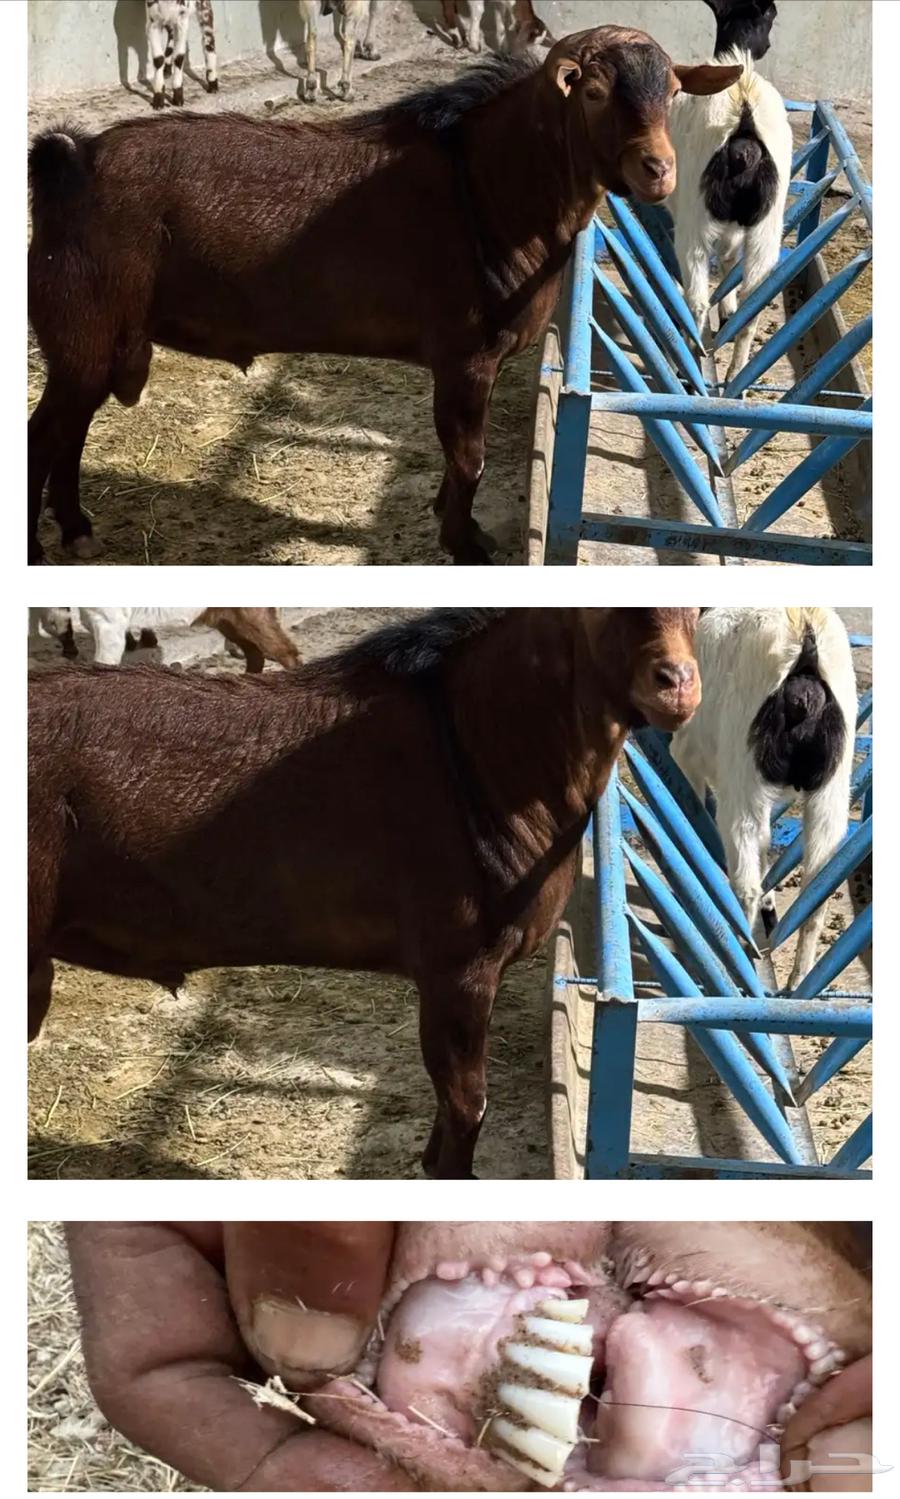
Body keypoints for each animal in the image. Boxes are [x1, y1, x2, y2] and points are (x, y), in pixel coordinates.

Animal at [666, 2, 790, 382]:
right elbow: (731, 260)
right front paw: (729, 309)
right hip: (767, 228)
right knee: (753, 300)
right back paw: (737, 373)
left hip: (694, 219)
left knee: (696, 298)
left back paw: (694, 356)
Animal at [670, 608, 858, 990]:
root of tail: (805, 638)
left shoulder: (687, 754)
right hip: (831, 791)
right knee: (816, 888)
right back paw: (798, 979)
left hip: (741, 773)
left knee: (745, 879)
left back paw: (742, 954)